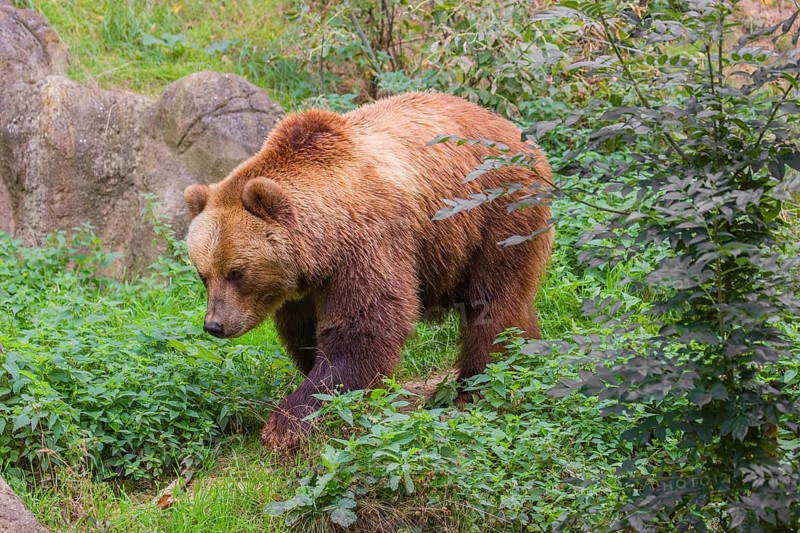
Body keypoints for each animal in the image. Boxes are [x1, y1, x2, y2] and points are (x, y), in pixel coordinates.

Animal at [183, 91, 554, 448]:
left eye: (236, 272)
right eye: (204, 274)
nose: (214, 325)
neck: (324, 241)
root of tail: (517, 133)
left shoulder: (368, 243)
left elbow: (363, 327)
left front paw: (288, 423)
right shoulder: (303, 287)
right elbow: (305, 333)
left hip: (497, 211)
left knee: (492, 301)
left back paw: (478, 384)